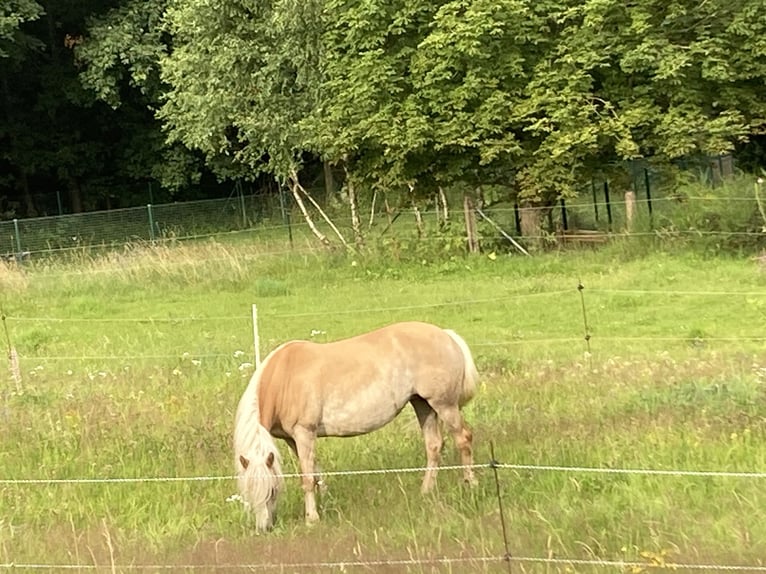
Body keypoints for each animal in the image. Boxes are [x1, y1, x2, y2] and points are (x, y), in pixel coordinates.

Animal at [234, 322, 480, 532]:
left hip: (444, 405)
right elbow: (315, 471)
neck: (283, 377)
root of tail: (446, 335)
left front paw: (312, 518)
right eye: (248, 492)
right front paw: (326, 500)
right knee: (434, 446)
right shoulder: (293, 439)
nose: (264, 528)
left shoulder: (304, 432)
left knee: (463, 438)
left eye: (272, 491)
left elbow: (307, 478)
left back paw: (470, 484)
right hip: (423, 405)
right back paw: (426, 491)